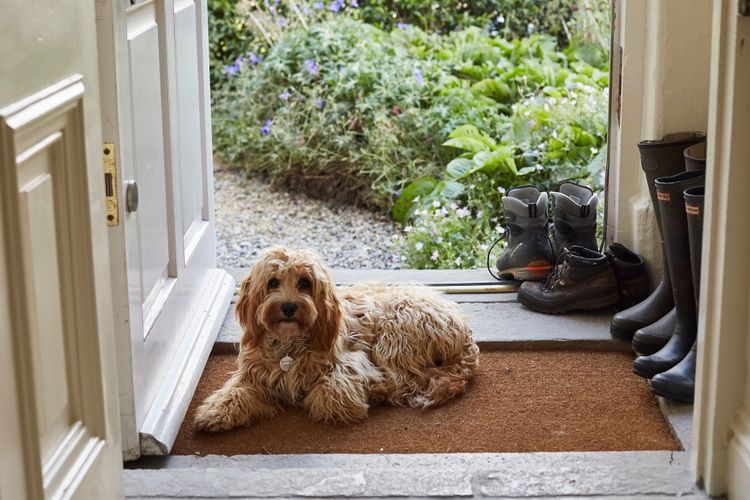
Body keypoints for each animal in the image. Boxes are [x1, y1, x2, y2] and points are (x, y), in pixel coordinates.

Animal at [192, 246, 476, 430]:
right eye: (272, 282)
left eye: (304, 282)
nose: (288, 307)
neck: (289, 345)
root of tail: (462, 324)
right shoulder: (255, 373)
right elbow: (236, 390)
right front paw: (215, 411)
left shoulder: (354, 359)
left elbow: (329, 394)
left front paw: (335, 401)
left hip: (393, 332)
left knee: (402, 378)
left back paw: (377, 390)